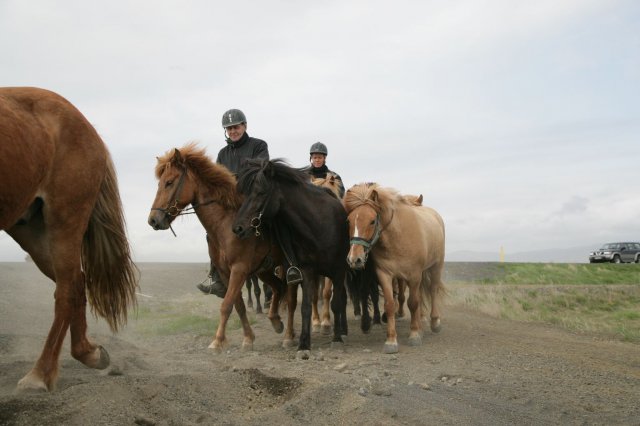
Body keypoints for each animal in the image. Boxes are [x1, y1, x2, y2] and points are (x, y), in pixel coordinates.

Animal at [0, 87, 139, 392]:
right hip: (31, 231)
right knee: (77, 280)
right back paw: (90, 353)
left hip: (64, 220)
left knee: (67, 288)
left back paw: (39, 375)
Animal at [148, 145, 288, 352]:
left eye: (169, 182)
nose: (153, 220)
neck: (225, 223)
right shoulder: (226, 272)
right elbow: (238, 305)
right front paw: (248, 338)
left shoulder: (239, 269)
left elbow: (226, 305)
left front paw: (218, 340)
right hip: (264, 270)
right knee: (279, 287)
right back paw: (276, 321)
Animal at [231, 158, 348, 358]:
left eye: (261, 193)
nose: (238, 228)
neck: (319, 225)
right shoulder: (307, 272)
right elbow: (306, 307)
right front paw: (303, 344)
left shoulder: (338, 272)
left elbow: (336, 303)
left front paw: (337, 338)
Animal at [344, 183, 444, 352]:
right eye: (349, 221)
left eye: (372, 221)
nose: (354, 259)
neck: (398, 237)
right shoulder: (385, 274)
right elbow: (390, 304)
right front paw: (391, 341)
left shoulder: (414, 275)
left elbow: (413, 303)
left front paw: (414, 335)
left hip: (436, 266)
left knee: (433, 290)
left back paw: (435, 322)